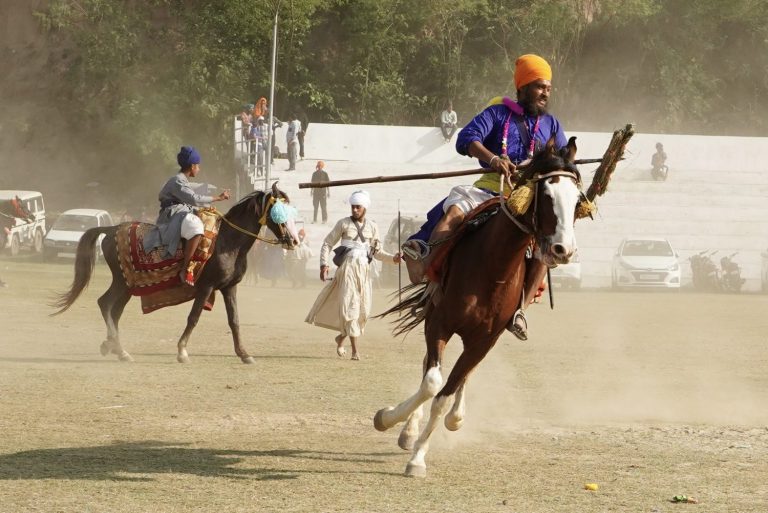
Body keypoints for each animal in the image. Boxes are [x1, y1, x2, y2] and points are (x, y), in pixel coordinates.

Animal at [52, 183, 297, 364]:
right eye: (278, 210)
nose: (293, 240)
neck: (228, 242)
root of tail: (111, 229)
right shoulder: (206, 287)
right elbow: (193, 317)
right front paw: (182, 351)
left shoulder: (229, 287)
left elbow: (234, 320)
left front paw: (244, 354)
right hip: (123, 282)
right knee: (105, 304)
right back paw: (118, 347)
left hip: (128, 285)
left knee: (114, 309)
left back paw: (114, 347)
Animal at [374, 137, 591, 477]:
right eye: (547, 195)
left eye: (577, 199)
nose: (563, 249)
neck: (493, 266)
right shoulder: (439, 324)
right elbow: (432, 383)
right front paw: (389, 419)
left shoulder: (486, 339)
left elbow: (446, 393)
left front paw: (419, 457)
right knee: (429, 371)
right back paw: (409, 428)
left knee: (462, 374)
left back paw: (454, 417)